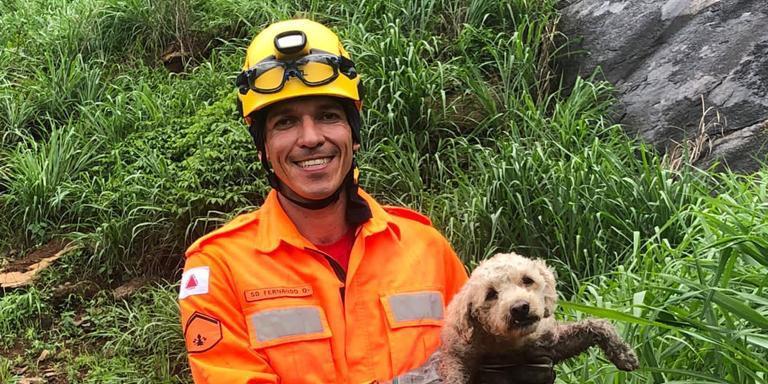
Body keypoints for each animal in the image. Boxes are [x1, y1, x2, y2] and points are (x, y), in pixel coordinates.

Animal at [440, 254, 640, 382]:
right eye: (490, 294)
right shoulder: (458, 356)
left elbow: (597, 324)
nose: (520, 308)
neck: (510, 344)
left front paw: (624, 354)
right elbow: (453, 373)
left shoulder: (548, 343)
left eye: (527, 280)